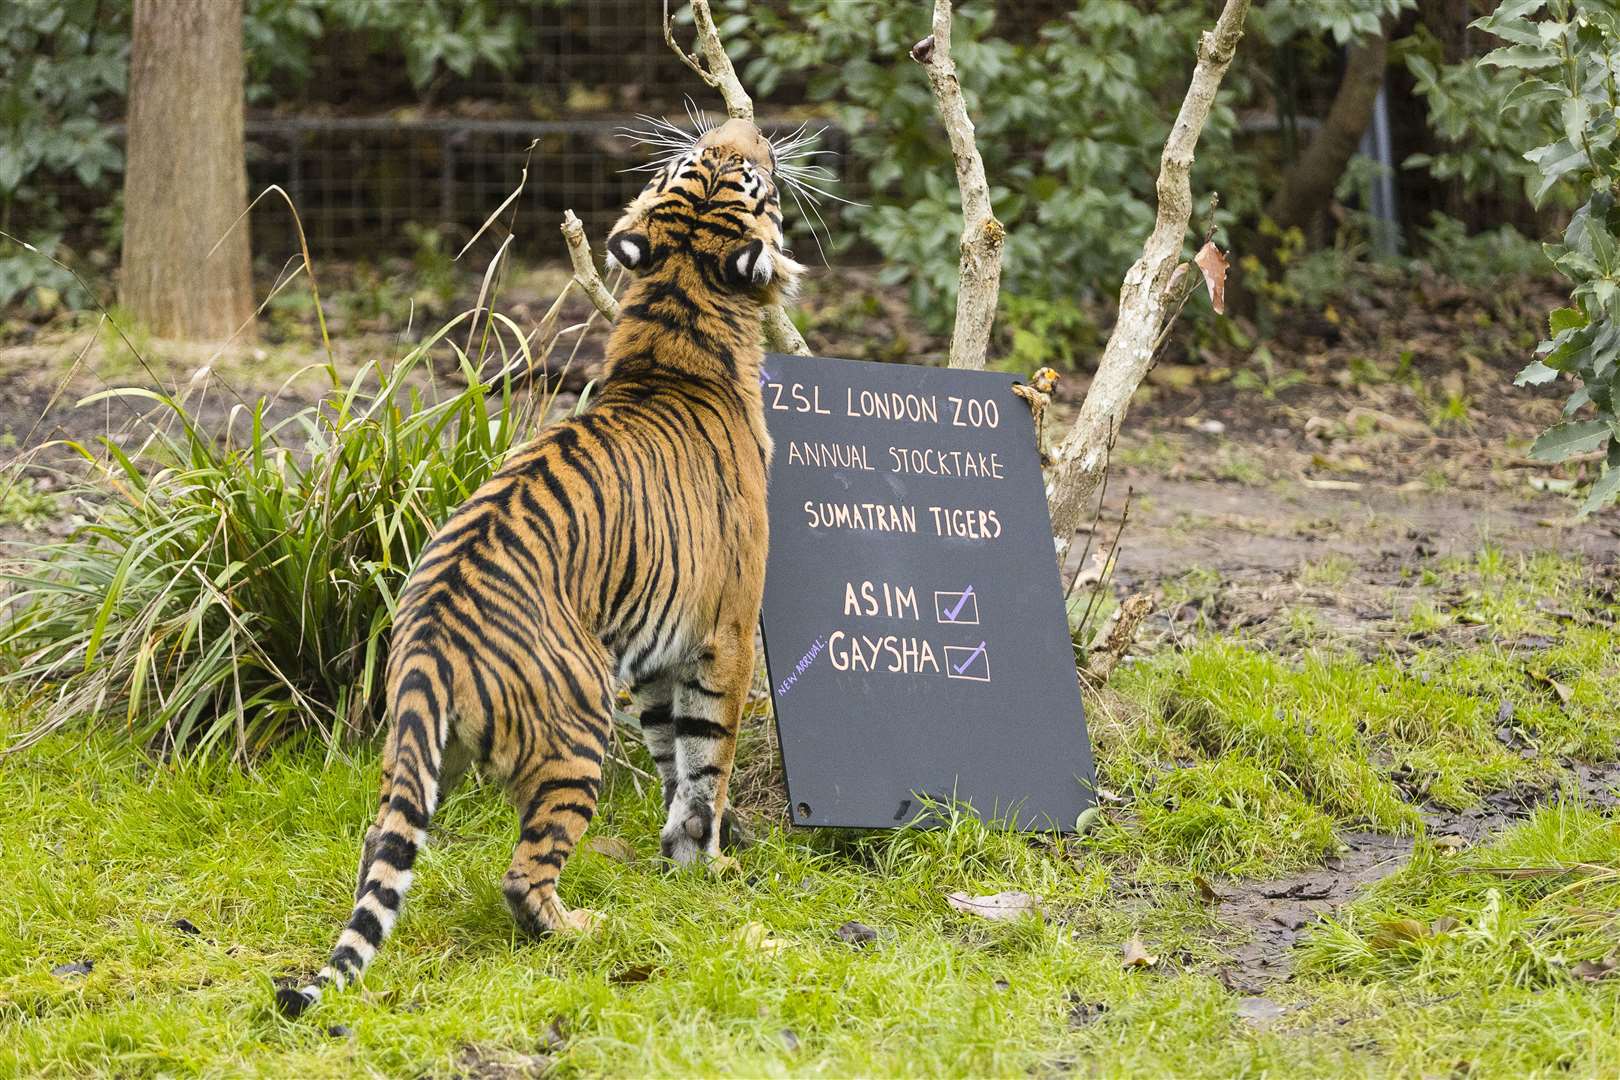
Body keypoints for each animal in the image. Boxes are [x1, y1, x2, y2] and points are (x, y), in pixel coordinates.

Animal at [281, 120, 806, 1023]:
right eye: (747, 175)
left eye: (704, 159)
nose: (745, 129)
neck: (677, 324)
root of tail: (427, 641)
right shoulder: (727, 632)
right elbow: (708, 760)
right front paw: (710, 863)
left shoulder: (658, 648)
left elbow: (670, 755)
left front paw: (677, 856)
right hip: (576, 729)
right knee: (523, 874)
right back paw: (581, 928)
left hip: (417, 760)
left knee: (380, 847)